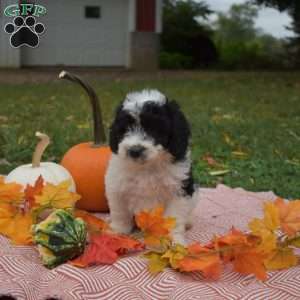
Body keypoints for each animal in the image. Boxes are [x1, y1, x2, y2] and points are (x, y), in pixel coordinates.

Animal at [105, 89, 197, 244]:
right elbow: (120, 213)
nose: (135, 150)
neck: (147, 167)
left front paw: (175, 240)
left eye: (153, 129)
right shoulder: (117, 188)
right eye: (125, 129)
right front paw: (117, 231)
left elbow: (174, 218)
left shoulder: (179, 190)